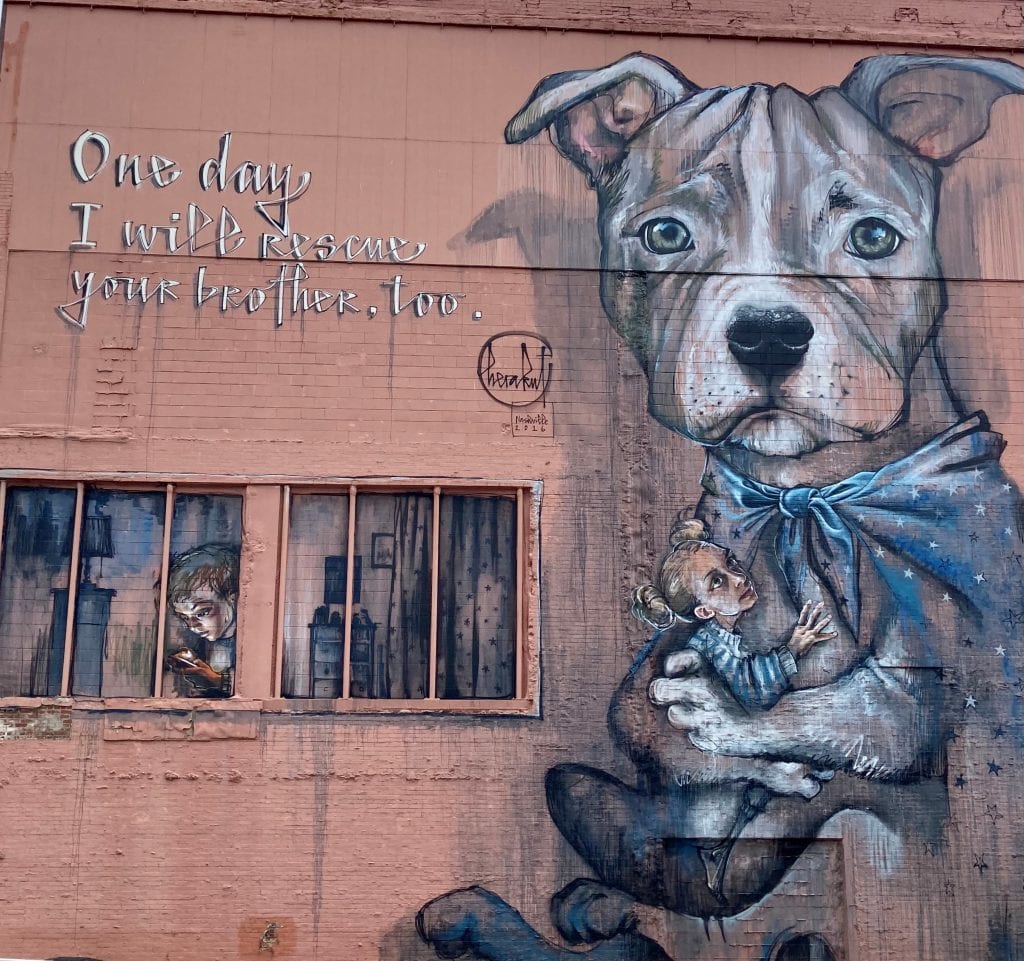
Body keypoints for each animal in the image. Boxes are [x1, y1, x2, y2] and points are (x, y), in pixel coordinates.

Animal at [415, 54, 1024, 958]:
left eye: (874, 238)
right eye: (667, 235)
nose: (769, 332)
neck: (802, 494)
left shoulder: (942, 670)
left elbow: (870, 717)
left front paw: (733, 718)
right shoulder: (656, 663)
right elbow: (647, 714)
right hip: (592, 797)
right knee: (646, 858)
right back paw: (573, 908)